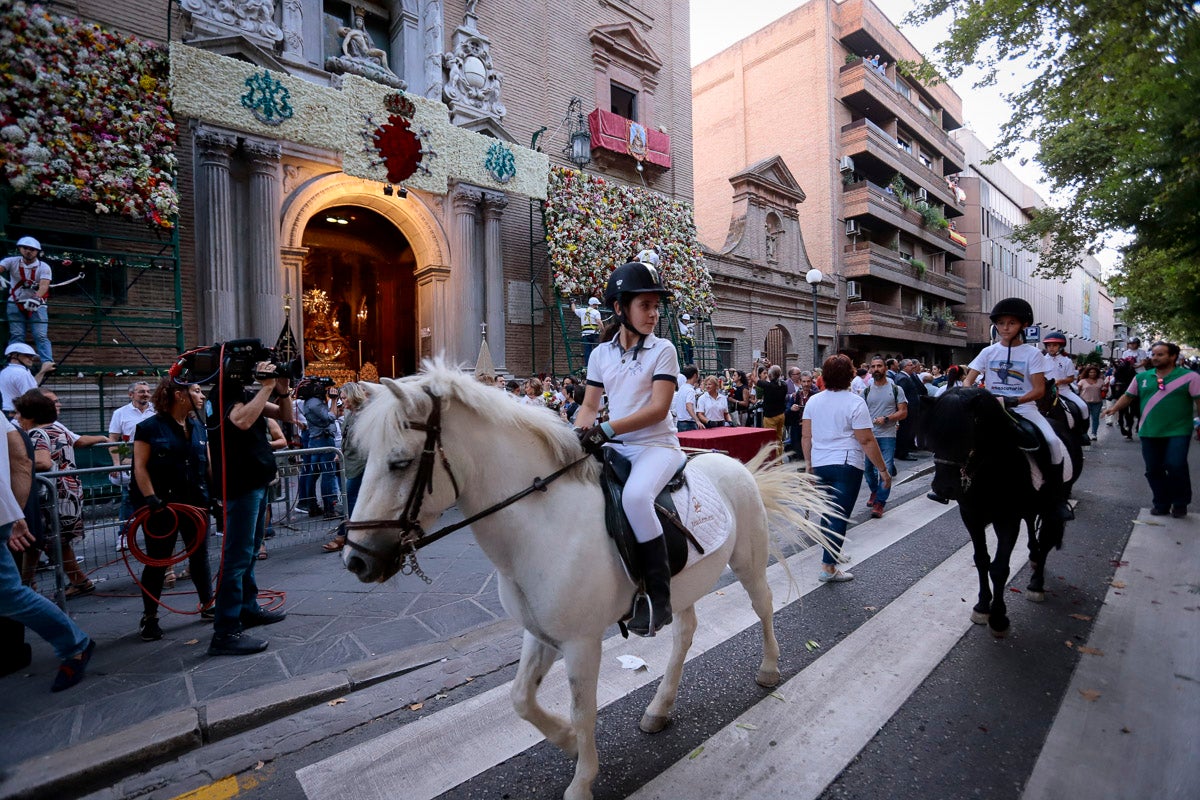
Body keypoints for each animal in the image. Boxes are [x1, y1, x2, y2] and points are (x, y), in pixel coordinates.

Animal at [345, 364, 835, 800]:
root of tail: (736, 466)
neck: (540, 523)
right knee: (684, 634)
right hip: (683, 586)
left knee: (763, 606)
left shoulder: (581, 642)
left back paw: (768, 670)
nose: (356, 559)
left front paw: (581, 781)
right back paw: (660, 708)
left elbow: (584, 710)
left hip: (748, 562)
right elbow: (521, 698)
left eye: (400, 462)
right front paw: (565, 741)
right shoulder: (540, 633)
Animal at [921, 388, 1084, 638]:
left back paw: (1036, 584)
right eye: (933, 437)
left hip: (1055, 502)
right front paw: (981, 606)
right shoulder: (971, 516)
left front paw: (998, 618)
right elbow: (981, 559)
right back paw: (1033, 557)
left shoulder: (1007, 520)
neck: (989, 469)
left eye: (966, 434)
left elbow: (998, 568)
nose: (943, 488)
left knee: (1047, 538)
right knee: (1032, 526)